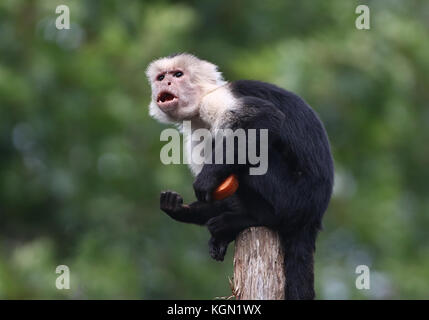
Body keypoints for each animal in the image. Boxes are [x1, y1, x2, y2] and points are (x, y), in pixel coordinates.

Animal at [147, 53, 334, 300]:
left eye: (178, 74)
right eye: (161, 77)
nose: (166, 83)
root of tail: (314, 216)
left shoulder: (214, 100)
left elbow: (266, 118)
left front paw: (208, 178)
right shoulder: (196, 134)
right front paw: (180, 210)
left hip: (297, 198)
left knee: (253, 154)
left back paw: (259, 218)